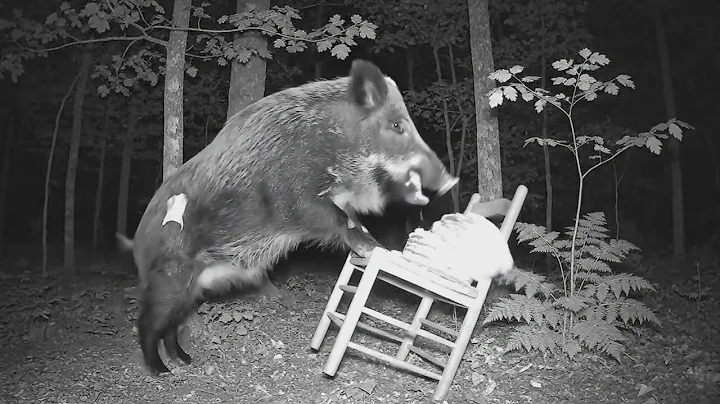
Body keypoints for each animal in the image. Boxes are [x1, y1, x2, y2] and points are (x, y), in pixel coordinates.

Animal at [124, 59, 458, 375]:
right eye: (397, 125)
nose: (449, 179)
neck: (334, 146)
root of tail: (137, 241)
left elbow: (353, 220)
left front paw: (382, 248)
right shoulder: (300, 201)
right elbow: (340, 221)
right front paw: (378, 249)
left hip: (191, 288)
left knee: (172, 325)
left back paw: (185, 360)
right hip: (170, 277)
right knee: (148, 324)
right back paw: (161, 371)